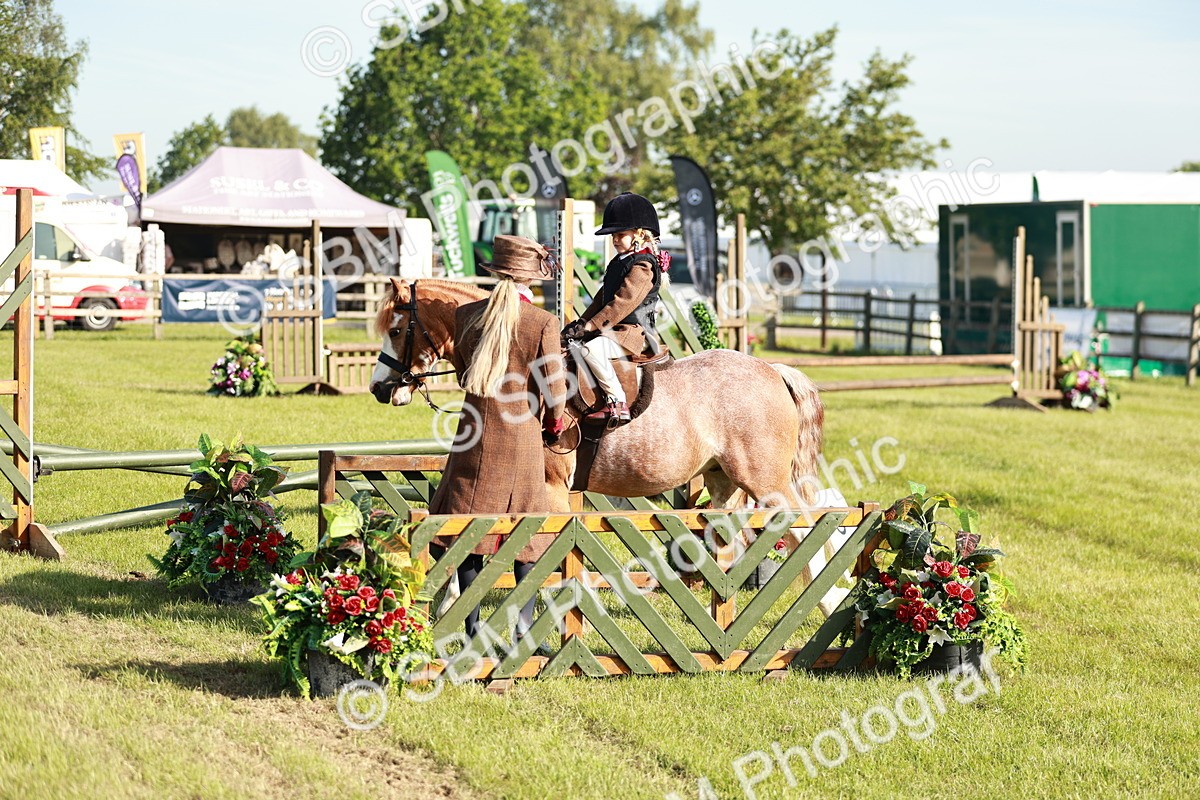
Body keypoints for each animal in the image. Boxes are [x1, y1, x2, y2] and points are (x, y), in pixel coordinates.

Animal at [368, 278, 849, 614]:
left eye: (398, 329)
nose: (379, 388)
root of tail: (771, 369)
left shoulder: (550, 488)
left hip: (765, 481)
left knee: (804, 526)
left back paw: (824, 601)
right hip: (722, 482)